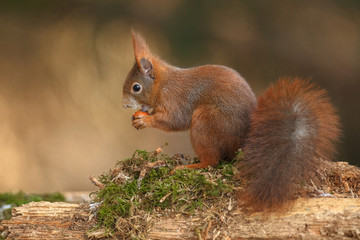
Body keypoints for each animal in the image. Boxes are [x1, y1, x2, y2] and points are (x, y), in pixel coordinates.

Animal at [123, 30, 340, 212]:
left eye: (136, 87)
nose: (125, 105)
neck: (162, 84)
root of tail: (241, 145)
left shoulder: (176, 99)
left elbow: (174, 120)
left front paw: (144, 120)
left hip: (206, 120)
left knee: (212, 161)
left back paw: (188, 167)